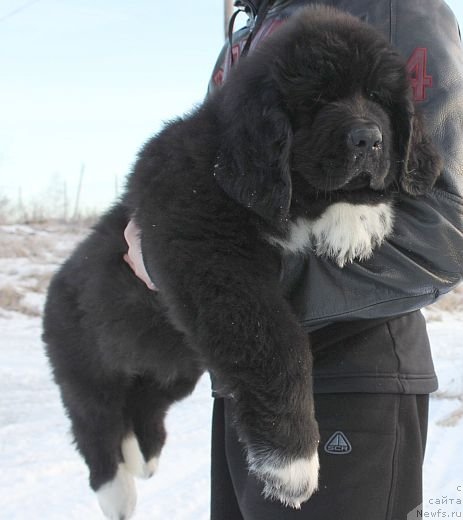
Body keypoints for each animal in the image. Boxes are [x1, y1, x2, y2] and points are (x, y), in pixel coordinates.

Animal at [42, 5, 442, 520]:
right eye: (317, 101)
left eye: (378, 97)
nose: (368, 140)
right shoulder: (211, 260)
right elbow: (277, 344)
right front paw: (291, 462)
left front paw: (358, 216)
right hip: (87, 367)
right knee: (95, 422)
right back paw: (117, 490)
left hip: (175, 361)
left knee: (145, 401)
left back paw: (141, 456)